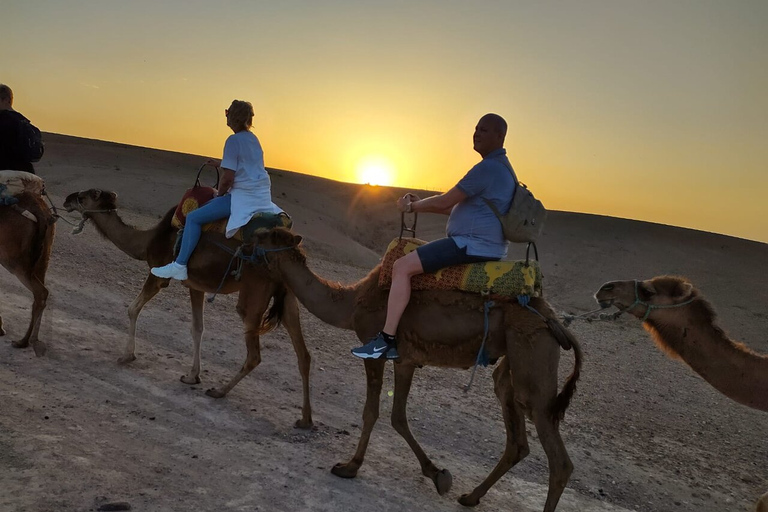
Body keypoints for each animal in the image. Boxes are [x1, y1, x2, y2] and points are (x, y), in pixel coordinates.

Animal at [63, 188, 314, 428]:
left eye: (84, 196)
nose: (66, 200)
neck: (148, 241)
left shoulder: (158, 274)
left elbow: (132, 309)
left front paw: (127, 355)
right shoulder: (195, 285)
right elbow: (197, 328)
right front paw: (193, 375)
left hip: (254, 294)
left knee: (254, 355)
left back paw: (219, 391)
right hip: (288, 295)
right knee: (303, 354)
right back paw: (305, 419)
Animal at [252, 228, 584, 512]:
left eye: (263, 237)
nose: (245, 238)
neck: (352, 302)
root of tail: (554, 320)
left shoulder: (373, 351)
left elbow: (371, 411)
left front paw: (349, 466)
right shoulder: (405, 360)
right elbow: (398, 416)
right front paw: (437, 474)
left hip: (533, 357)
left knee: (557, 457)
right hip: (513, 363)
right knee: (515, 433)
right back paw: (470, 497)